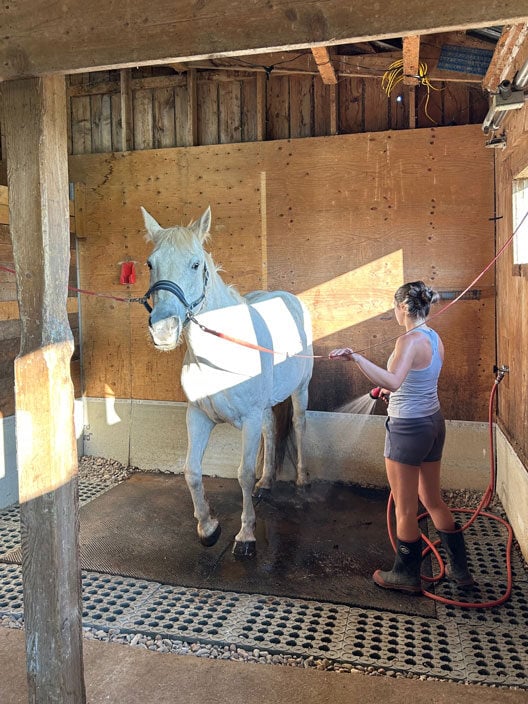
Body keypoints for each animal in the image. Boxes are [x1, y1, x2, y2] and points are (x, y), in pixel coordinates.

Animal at [140, 206, 314, 560]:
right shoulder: (198, 416)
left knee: (300, 425)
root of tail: (290, 299)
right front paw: (208, 529)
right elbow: (192, 471)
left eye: (196, 264)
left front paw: (245, 536)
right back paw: (267, 483)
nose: (163, 329)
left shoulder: (248, 418)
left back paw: (303, 482)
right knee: (271, 430)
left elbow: (243, 474)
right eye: (151, 263)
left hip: (299, 391)